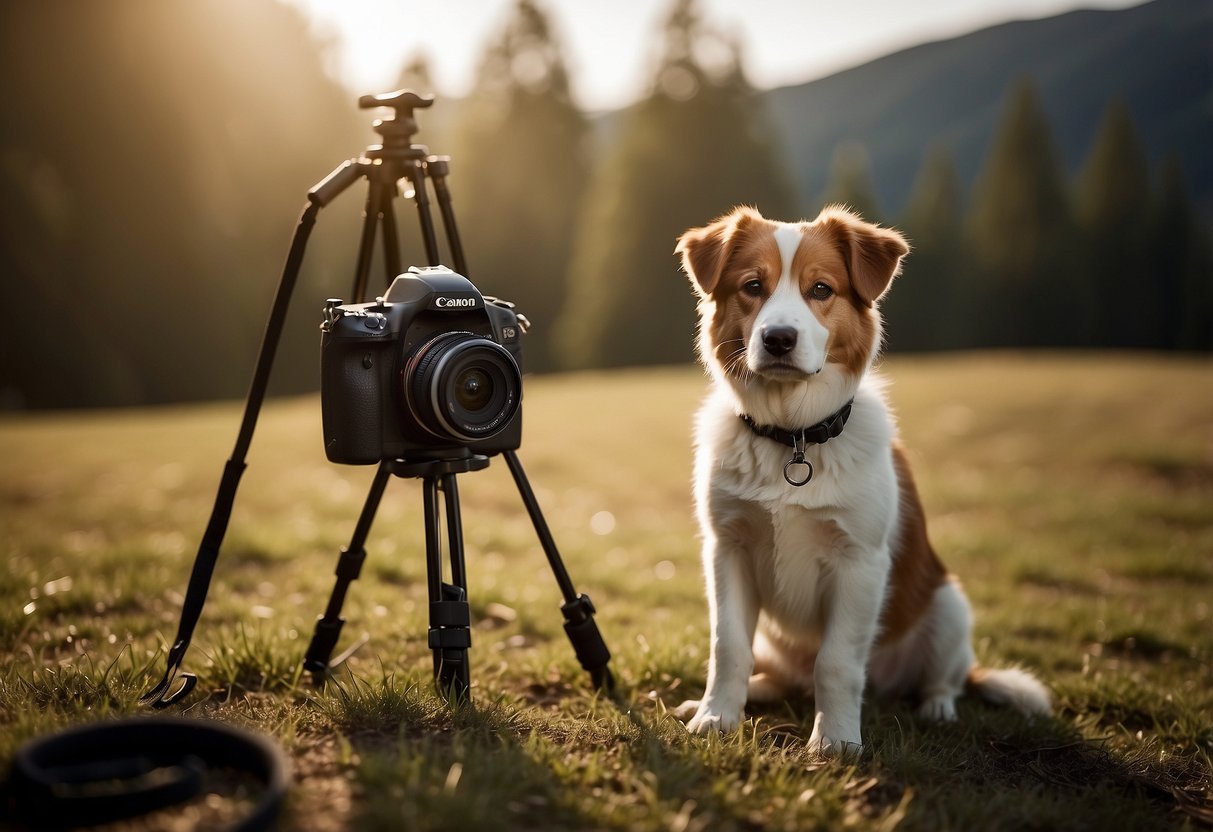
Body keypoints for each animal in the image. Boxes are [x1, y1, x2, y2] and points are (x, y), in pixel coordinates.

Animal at [674, 207, 1052, 756]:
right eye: (752, 286)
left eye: (821, 289)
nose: (778, 338)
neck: (793, 438)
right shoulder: (728, 549)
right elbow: (728, 645)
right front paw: (716, 716)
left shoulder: (859, 562)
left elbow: (836, 662)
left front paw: (835, 742)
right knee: (783, 676)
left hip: (948, 605)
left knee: (942, 679)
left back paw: (937, 707)